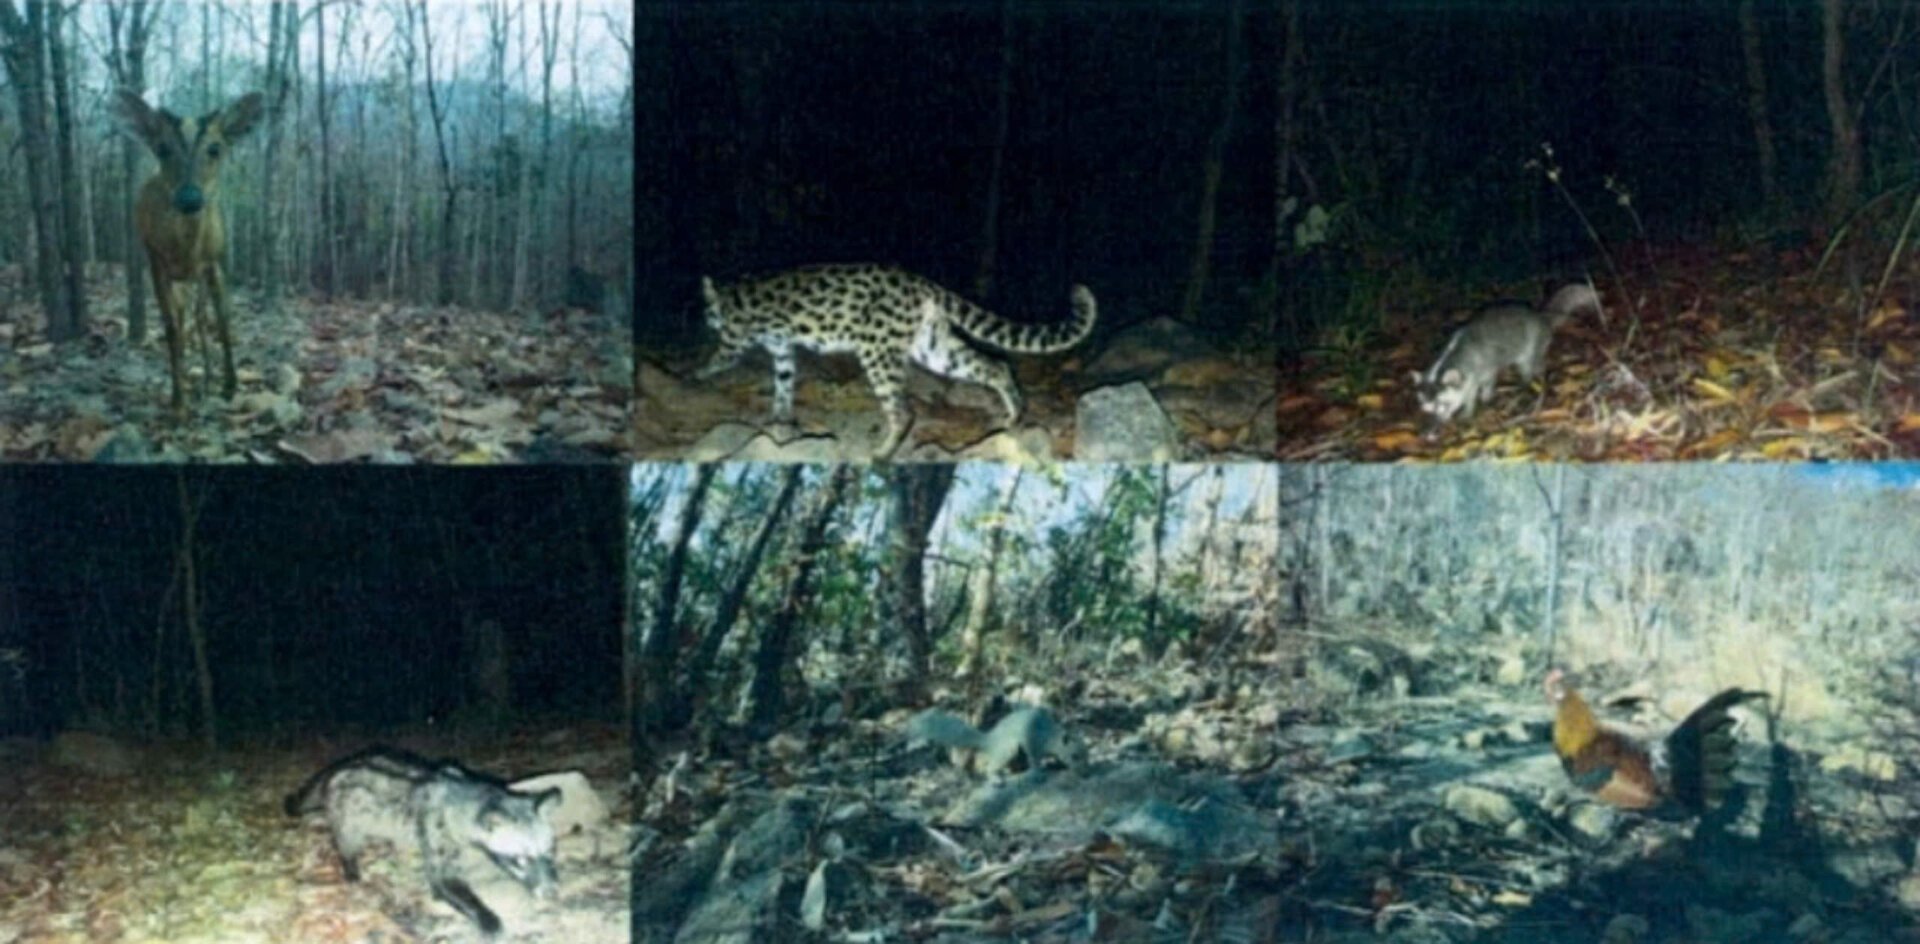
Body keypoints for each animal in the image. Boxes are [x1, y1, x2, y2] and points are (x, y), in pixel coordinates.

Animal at [112, 91, 264, 416]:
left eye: (215, 148)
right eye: (162, 148)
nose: (190, 198)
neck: (186, 251)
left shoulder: (215, 261)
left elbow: (223, 320)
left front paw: (230, 385)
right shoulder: (156, 262)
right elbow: (171, 327)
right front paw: (178, 400)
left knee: (200, 315)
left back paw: (207, 375)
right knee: (183, 319)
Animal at [702, 262, 1098, 454]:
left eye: (706, 307)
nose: (705, 319)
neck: (730, 292)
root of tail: (922, 282)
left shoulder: (733, 339)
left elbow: (719, 358)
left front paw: (699, 374)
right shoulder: (782, 350)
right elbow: (783, 385)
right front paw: (781, 419)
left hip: (877, 350)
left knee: (903, 410)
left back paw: (882, 453)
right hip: (934, 345)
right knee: (995, 365)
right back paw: (1014, 414)